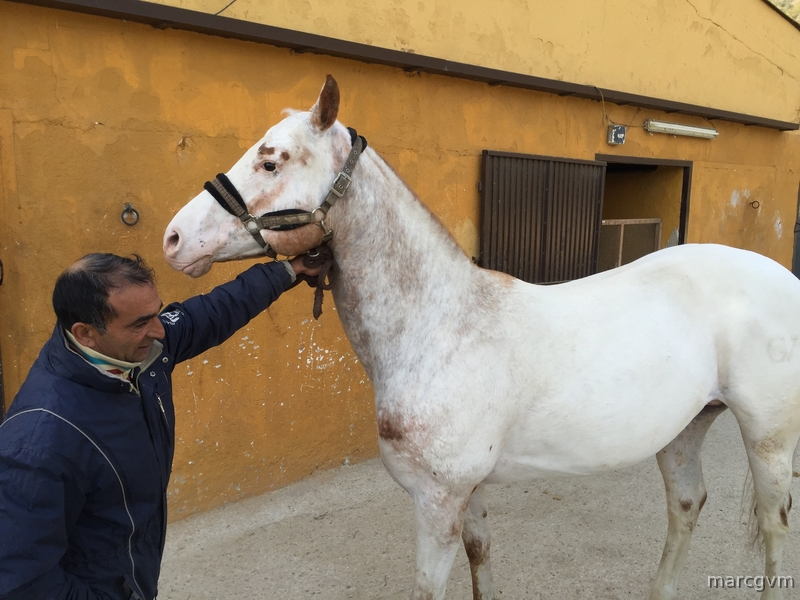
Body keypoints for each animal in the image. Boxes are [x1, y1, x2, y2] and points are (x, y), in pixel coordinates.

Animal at [163, 75, 800, 600]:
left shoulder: (437, 502)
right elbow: (481, 557)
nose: (174, 238)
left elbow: (430, 587)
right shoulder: (466, 496)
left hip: (768, 440)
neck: (439, 328)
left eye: (271, 162)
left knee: (774, 527)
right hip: (685, 430)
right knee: (686, 505)